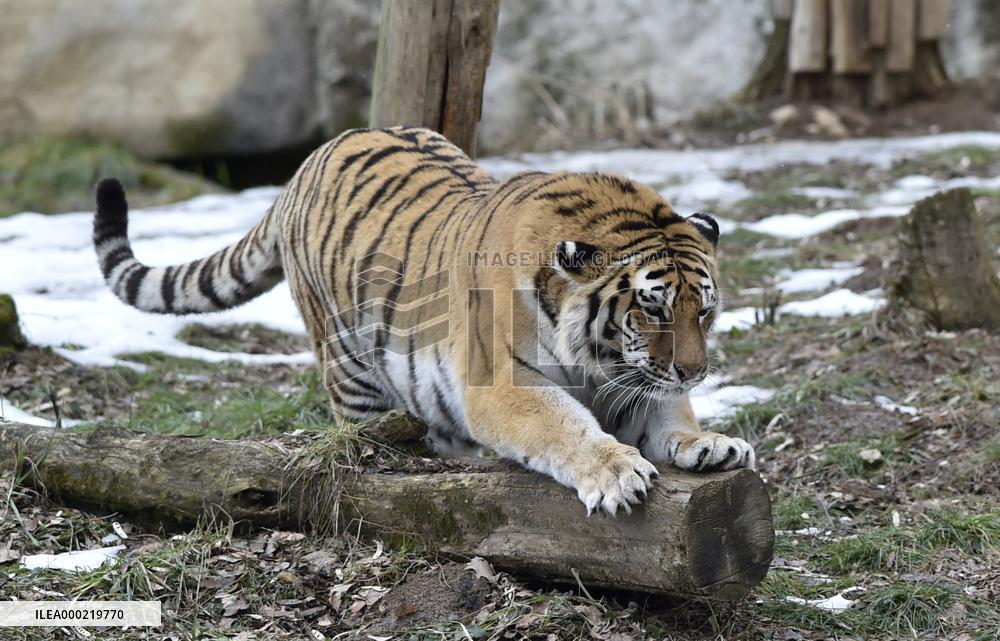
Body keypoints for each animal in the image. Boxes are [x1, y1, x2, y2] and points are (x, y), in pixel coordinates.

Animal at [92, 126, 754, 516]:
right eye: (651, 308)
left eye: (704, 310)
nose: (695, 372)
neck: (597, 360)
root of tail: (308, 161)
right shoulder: (502, 385)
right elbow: (565, 426)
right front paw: (616, 472)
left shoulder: (636, 379)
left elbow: (668, 412)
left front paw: (708, 443)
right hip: (351, 365)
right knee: (363, 437)